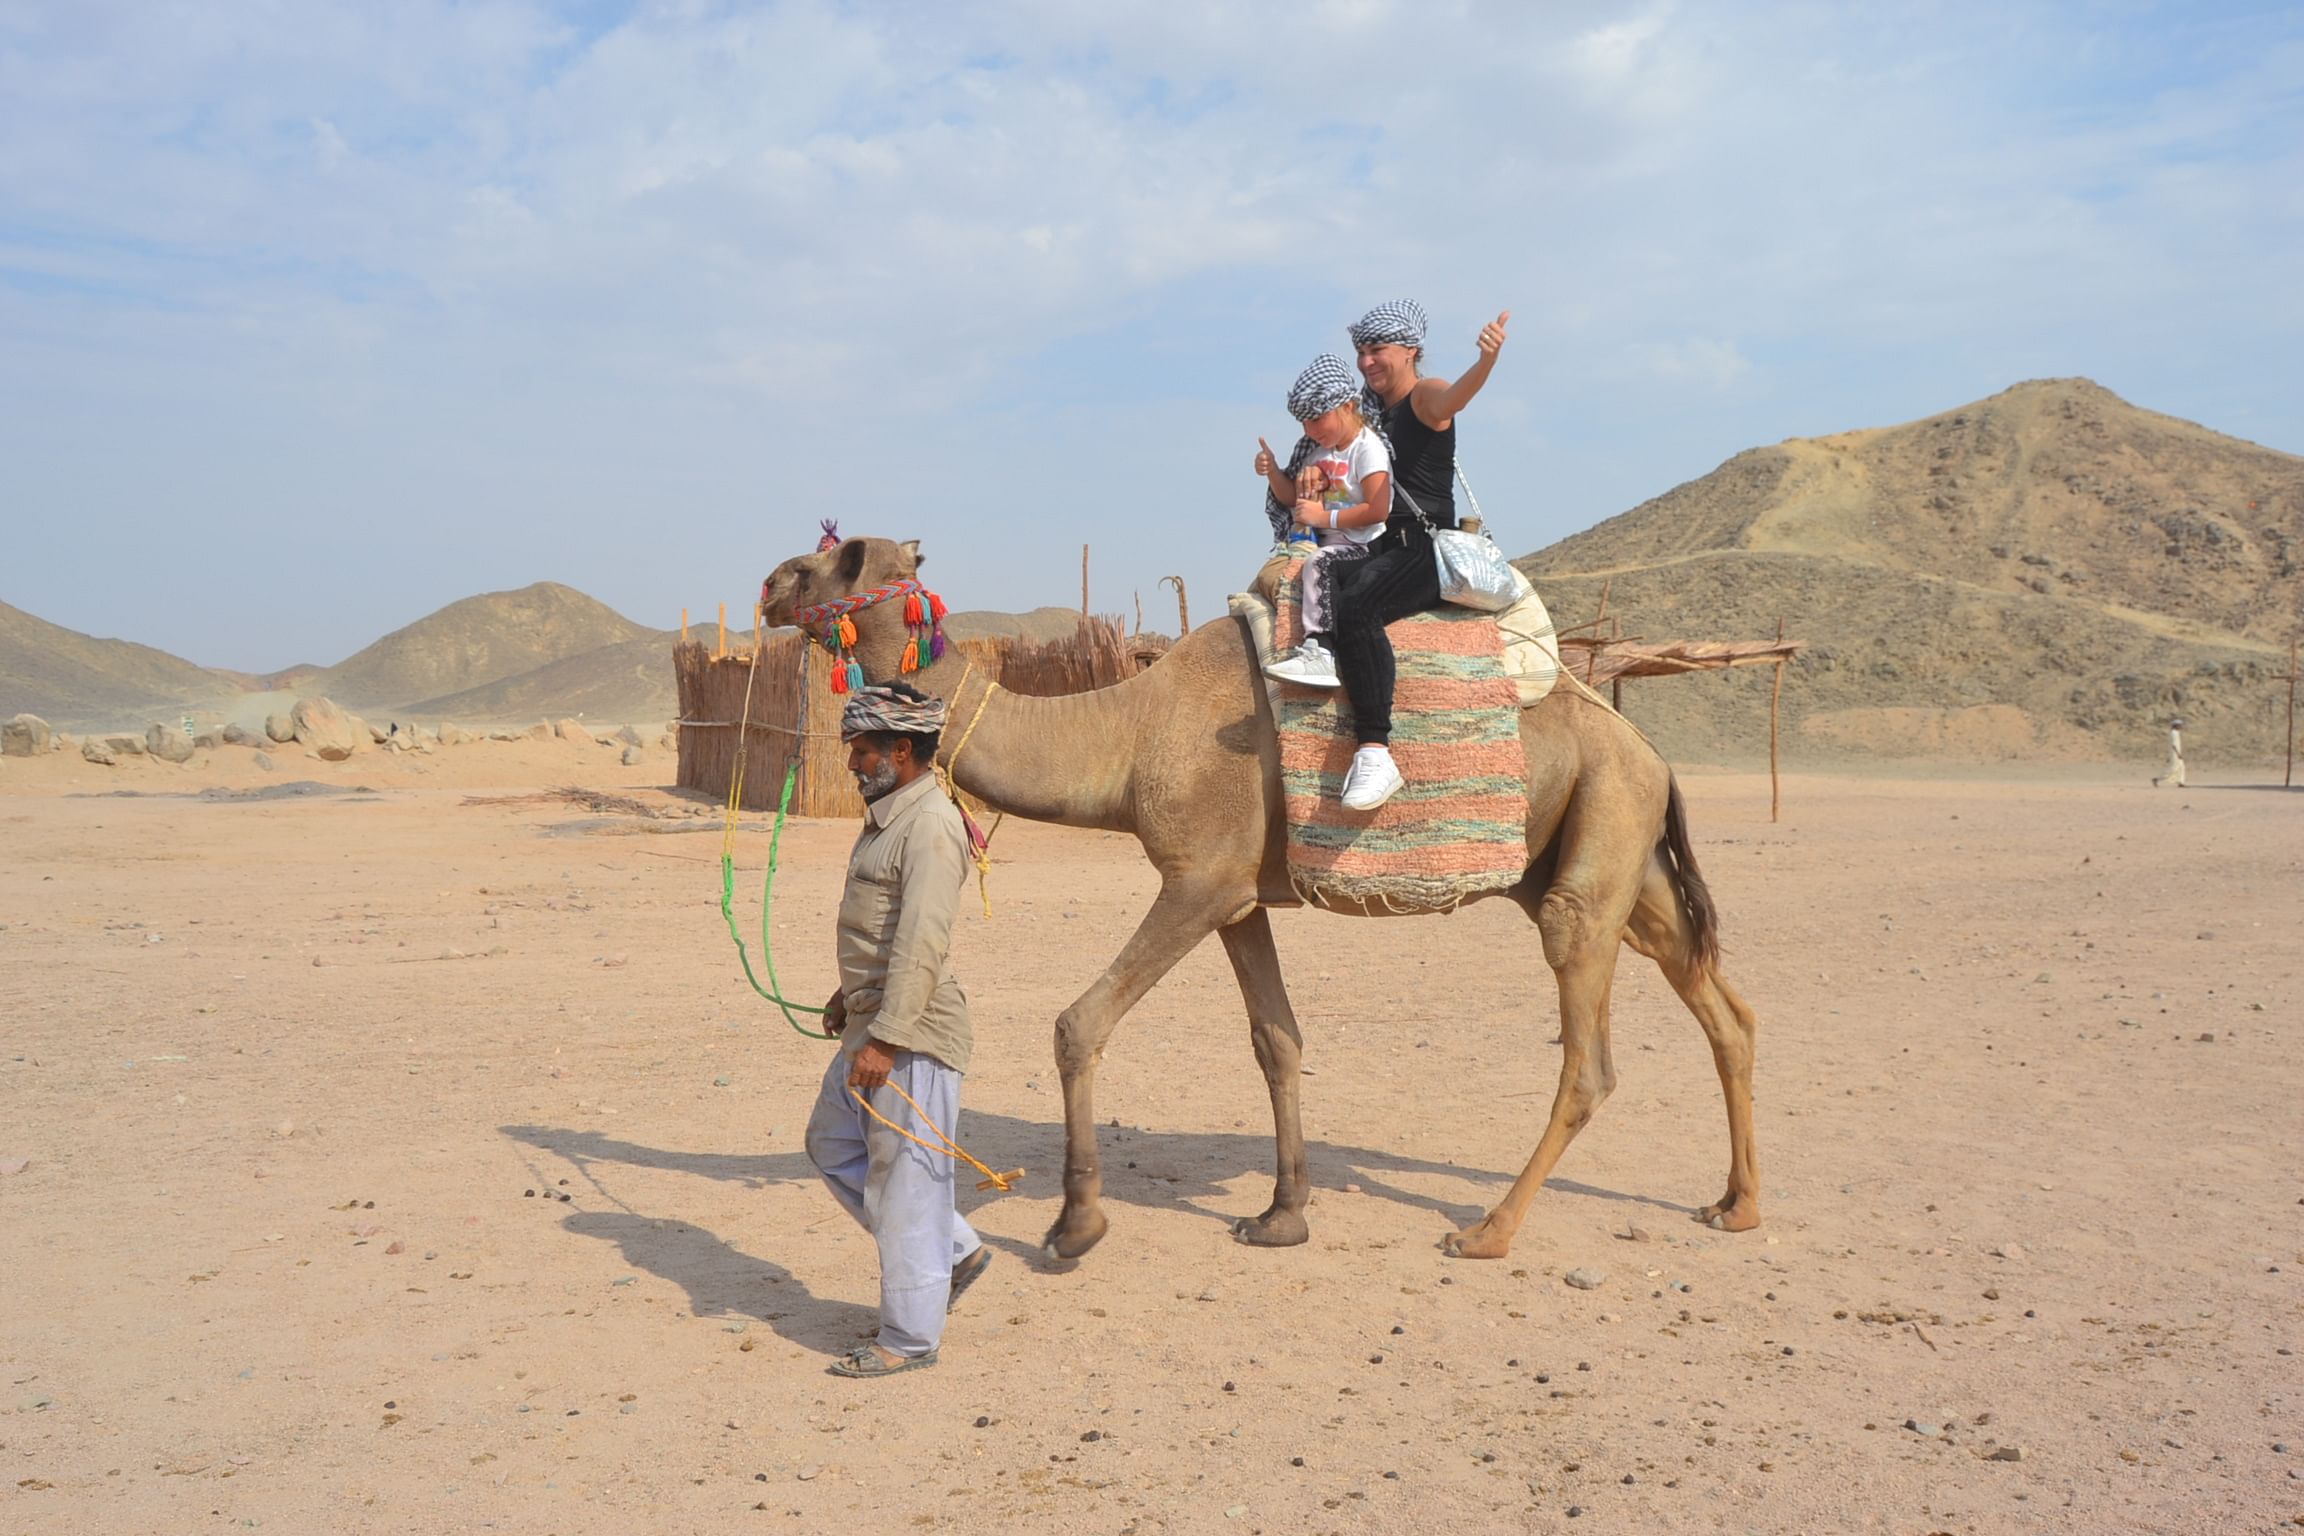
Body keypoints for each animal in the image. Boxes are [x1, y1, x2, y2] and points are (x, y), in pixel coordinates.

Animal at [760, 541, 1760, 1261]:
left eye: (837, 559)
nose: (768, 583)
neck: (1127, 733)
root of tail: (1651, 749)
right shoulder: (1242, 897)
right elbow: (1277, 1041)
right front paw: (1282, 1214)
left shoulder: (1199, 877)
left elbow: (1079, 1024)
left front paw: (1076, 1224)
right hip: (1617, 850)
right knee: (1721, 1005)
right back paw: (1736, 1204)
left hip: (1594, 849)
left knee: (1590, 1056)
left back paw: (1487, 1231)